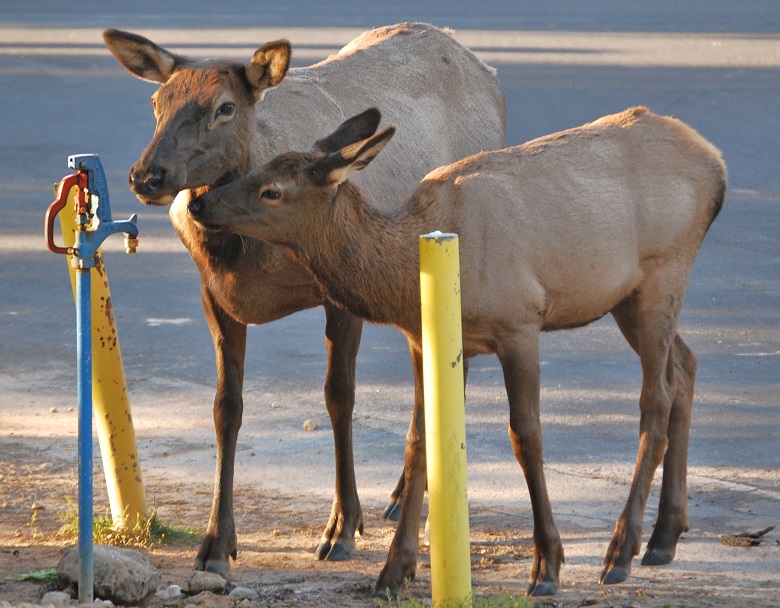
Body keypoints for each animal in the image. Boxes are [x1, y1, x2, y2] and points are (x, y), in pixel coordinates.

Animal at [102, 22, 506, 576]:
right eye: (156, 100)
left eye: (225, 107)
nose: (147, 176)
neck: (241, 256)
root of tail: (483, 70)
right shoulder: (215, 298)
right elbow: (226, 407)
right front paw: (216, 541)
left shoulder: (343, 291)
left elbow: (339, 396)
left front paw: (341, 527)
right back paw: (402, 494)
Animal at [186, 107, 728, 596]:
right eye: (256, 169)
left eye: (272, 191)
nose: (199, 206)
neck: (408, 279)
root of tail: (716, 164)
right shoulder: (426, 339)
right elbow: (419, 441)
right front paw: (394, 571)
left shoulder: (519, 322)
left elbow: (526, 437)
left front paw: (547, 566)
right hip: (624, 297)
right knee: (686, 366)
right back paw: (664, 536)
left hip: (663, 272)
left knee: (655, 400)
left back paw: (621, 551)